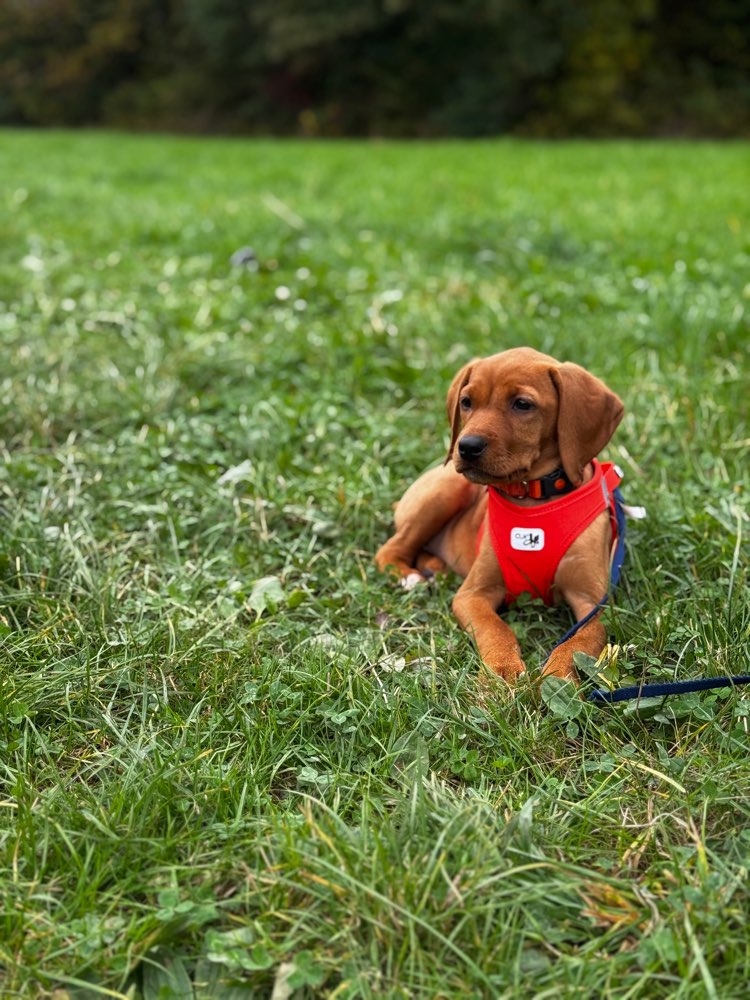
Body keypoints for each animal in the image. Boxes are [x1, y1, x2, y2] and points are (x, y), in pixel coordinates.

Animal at [376, 348, 628, 684]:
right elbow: (496, 629)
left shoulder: (594, 604)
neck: (533, 498)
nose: (466, 446)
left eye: (522, 404)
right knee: (391, 548)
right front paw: (502, 671)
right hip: (447, 489)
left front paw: (558, 677)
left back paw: (434, 569)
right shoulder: (473, 595)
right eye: (466, 402)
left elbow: (579, 641)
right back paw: (410, 577)